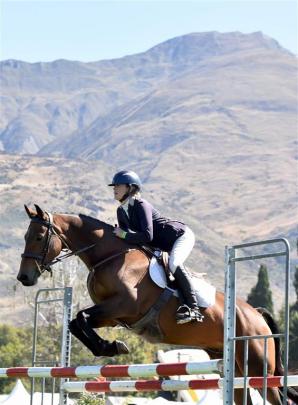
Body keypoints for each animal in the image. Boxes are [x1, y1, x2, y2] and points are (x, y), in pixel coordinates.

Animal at [17, 205, 296, 404]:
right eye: (25, 236)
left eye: (39, 236)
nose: (24, 278)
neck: (110, 256)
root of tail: (255, 313)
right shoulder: (111, 315)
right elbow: (76, 322)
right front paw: (110, 346)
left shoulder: (124, 306)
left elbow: (81, 318)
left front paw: (112, 346)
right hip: (236, 370)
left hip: (259, 366)